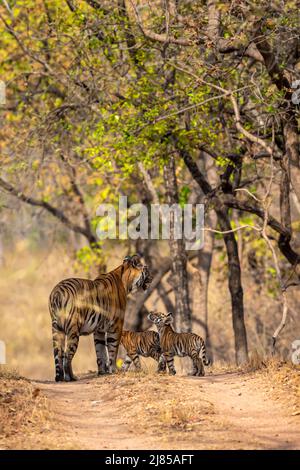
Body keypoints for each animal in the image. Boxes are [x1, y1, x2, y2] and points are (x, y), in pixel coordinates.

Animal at [50, 253, 152, 382]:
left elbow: (100, 351)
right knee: (67, 356)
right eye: (147, 270)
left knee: (58, 354)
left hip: (57, 329)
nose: (152, 278)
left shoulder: (99, 330)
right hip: (73, 329)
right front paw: (113, 370)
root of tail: (57, 292)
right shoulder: (116, 325)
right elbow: (113, 349)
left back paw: (59, 378)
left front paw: (102, 372)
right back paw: (71, 377)